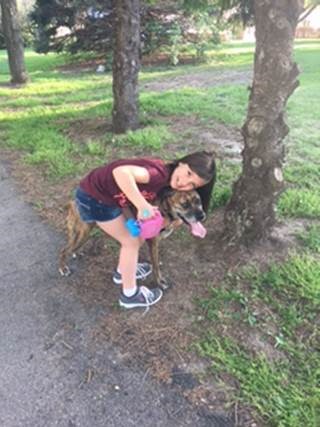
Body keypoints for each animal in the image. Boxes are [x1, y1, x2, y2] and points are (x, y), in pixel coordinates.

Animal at [58, 188, 206, 290]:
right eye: (185, 204)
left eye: (198, 201)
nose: (201, 216)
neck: (164, 210)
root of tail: (73, 202)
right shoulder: (152, 242)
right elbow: (156, 266)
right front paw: (160, 282)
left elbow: (154, 260)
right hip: (85, 231)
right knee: (63, 250)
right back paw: (63, 268)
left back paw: (76, 252)